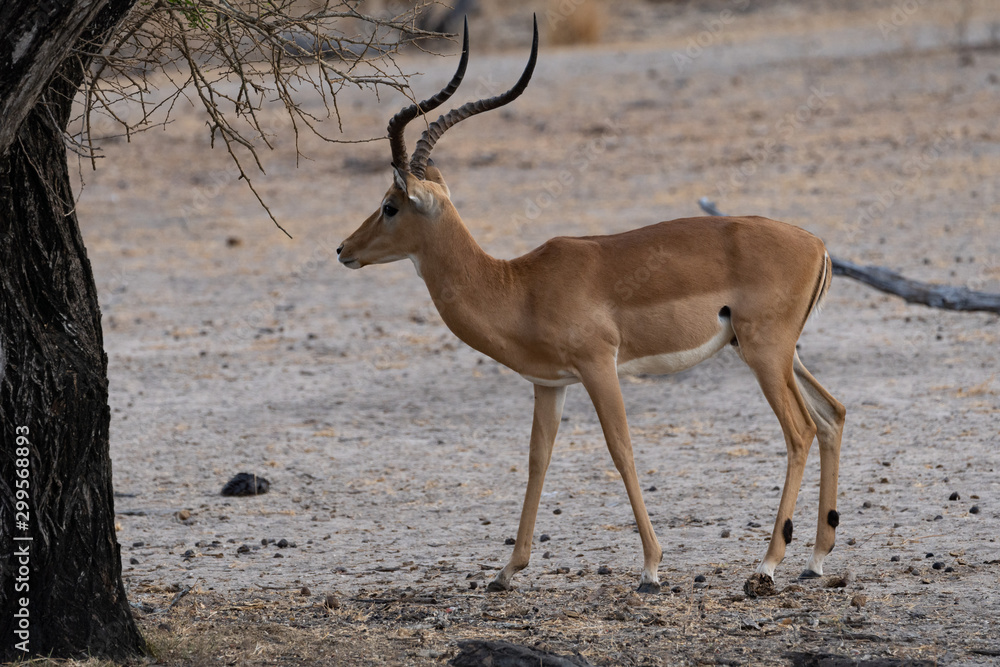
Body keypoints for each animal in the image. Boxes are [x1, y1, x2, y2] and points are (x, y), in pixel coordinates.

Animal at [337, 17, 846, 593]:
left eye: (389, 205)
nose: (344, 250)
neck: (519, 285)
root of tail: (818, 245)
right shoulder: (549, 383)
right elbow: (537, 459)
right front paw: (506, 571)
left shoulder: (600, 366)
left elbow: (620, 449)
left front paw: (651, 567)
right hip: (779, 353)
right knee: (832, 415)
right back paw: (815, 559)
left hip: (765, 354)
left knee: (800, 432)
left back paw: (768, 563)